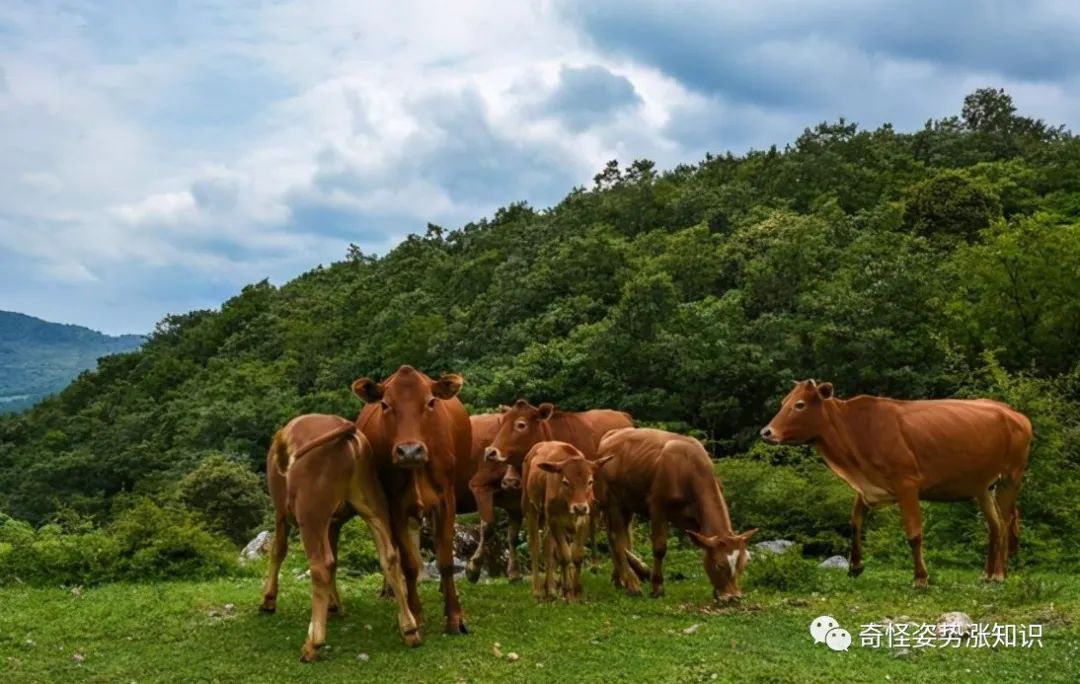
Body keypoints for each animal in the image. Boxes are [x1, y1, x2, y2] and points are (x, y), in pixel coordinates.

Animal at [259, 412, 419, 656]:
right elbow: (334, 559)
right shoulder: (333, 522)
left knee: (319, 566)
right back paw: (410, 629)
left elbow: (278, 550)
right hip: (374, 504)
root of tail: (345, 427)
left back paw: (313, 642)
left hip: (310, 514)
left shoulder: (281, 513)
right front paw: (333, 606)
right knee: (390, 557)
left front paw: (268, 600)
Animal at [354, 365, 473, 631]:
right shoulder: (394, 505)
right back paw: (390, 591)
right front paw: (415, 615)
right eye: (385, 404)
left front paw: (455, 616)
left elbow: (445, 560)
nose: (409, 451)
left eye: (431, 402)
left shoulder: (446, 500)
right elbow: (408, 563)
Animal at [520, 440, 600, 600]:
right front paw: (567, 590)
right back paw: (538, 590)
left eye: (590, 481)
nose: (579, 507)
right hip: (530, 509)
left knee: (548, 545)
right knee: (535, 546)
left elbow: (576, 555)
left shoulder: (584, 519)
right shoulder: (554, 520)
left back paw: (550, 589)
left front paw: (575, 590)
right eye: (566, 482)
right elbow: (564, 555)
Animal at [591, 430, 760, 600]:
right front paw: (657, 587)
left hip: (627, 503)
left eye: (743, 564)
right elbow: (659, 548)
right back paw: (632, 584)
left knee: (622, 537)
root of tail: (612, 435)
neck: (688, 469)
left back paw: (620, 579)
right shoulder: (657, 507)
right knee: (616, 538)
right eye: (719, 565)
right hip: (611, 500)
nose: (734, 597)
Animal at [760, 378, 1028, 587]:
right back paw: (987, 574)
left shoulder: (907, 485)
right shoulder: (868, 487)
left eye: (800, 404)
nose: (766, 432)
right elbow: (855, 523)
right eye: (783, 402)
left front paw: (920, 578)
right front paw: (855, 567)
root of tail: (1013, 412)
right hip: (983, 487)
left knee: (1005, 523)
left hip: (1010, 479)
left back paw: (999, 575)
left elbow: (914, 533)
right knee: (994, 525)